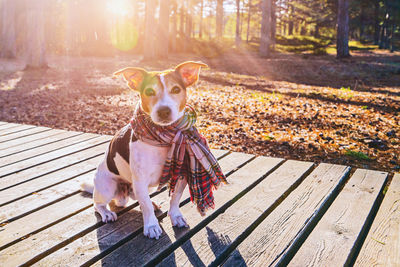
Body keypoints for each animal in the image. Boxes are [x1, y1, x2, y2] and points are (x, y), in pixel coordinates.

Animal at [80, 61, 208, 241]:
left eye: (176, 89)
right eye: (149, 91)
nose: (164, 111)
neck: (163, 138)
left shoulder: (181, 174)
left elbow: (174, 199)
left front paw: (175, 216)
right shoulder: (140, 180)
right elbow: (145, 205)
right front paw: (152, 226)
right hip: (107, 187)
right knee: (98, 204)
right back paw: (106, 213)